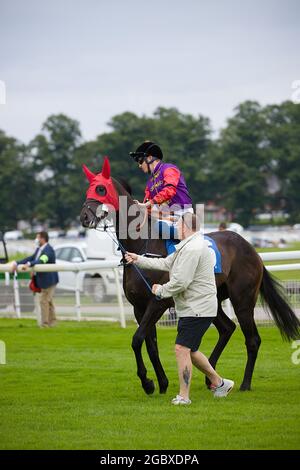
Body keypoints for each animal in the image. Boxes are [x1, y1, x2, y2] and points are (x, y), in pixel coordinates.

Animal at [79, 158, 300, 392]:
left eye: (101, 189)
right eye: (88, 189)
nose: (84, 216)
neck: (141, 244)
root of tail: (251, 249)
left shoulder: (158, 302)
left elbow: (137, 339)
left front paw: (148, 382)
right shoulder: (139, 307)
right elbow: (150, 345)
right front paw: (161, 383)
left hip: (243, 300)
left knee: (252, 339)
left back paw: (245, 384)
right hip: (211, 299)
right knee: (227, 328)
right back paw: (211, 377)